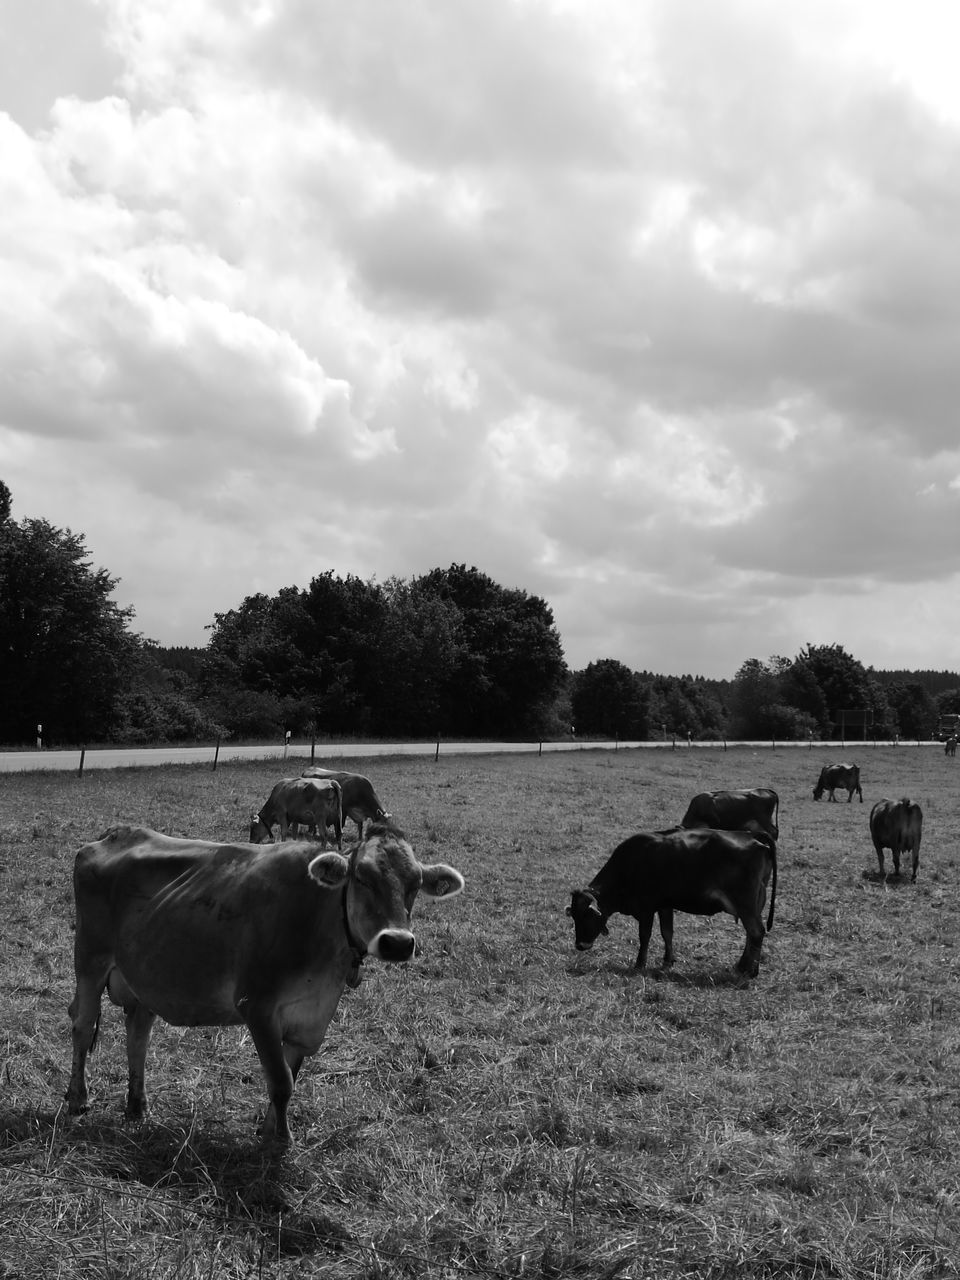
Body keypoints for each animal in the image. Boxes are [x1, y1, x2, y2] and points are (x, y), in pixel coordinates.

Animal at [64, 824, 465, 1146]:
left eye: (415, 885)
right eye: (362, 878)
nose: (397, 942)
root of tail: (114, 834)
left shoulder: (308, 1018)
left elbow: (289, 1078)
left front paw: (271, 1130)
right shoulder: (257, 1005)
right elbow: (281, 1080)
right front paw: (281, 1142)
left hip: (144, 975)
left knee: (137, 1036)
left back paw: (137, 1106)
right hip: (90, 960)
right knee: (82, 1027)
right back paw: (78, 1098)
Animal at [568, 824, 778, 972]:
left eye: (587, 916)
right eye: (574, 916)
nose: (579, 945)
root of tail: (751, 834)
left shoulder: (647, 908)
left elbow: (644, 936)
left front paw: (639, 964)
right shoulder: (665, 905)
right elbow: (667, 932)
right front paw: (668, 960)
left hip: (745, 904)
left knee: (756, 932)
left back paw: (750, 971)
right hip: (755, 904)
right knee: (752, 934)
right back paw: (742, 966)